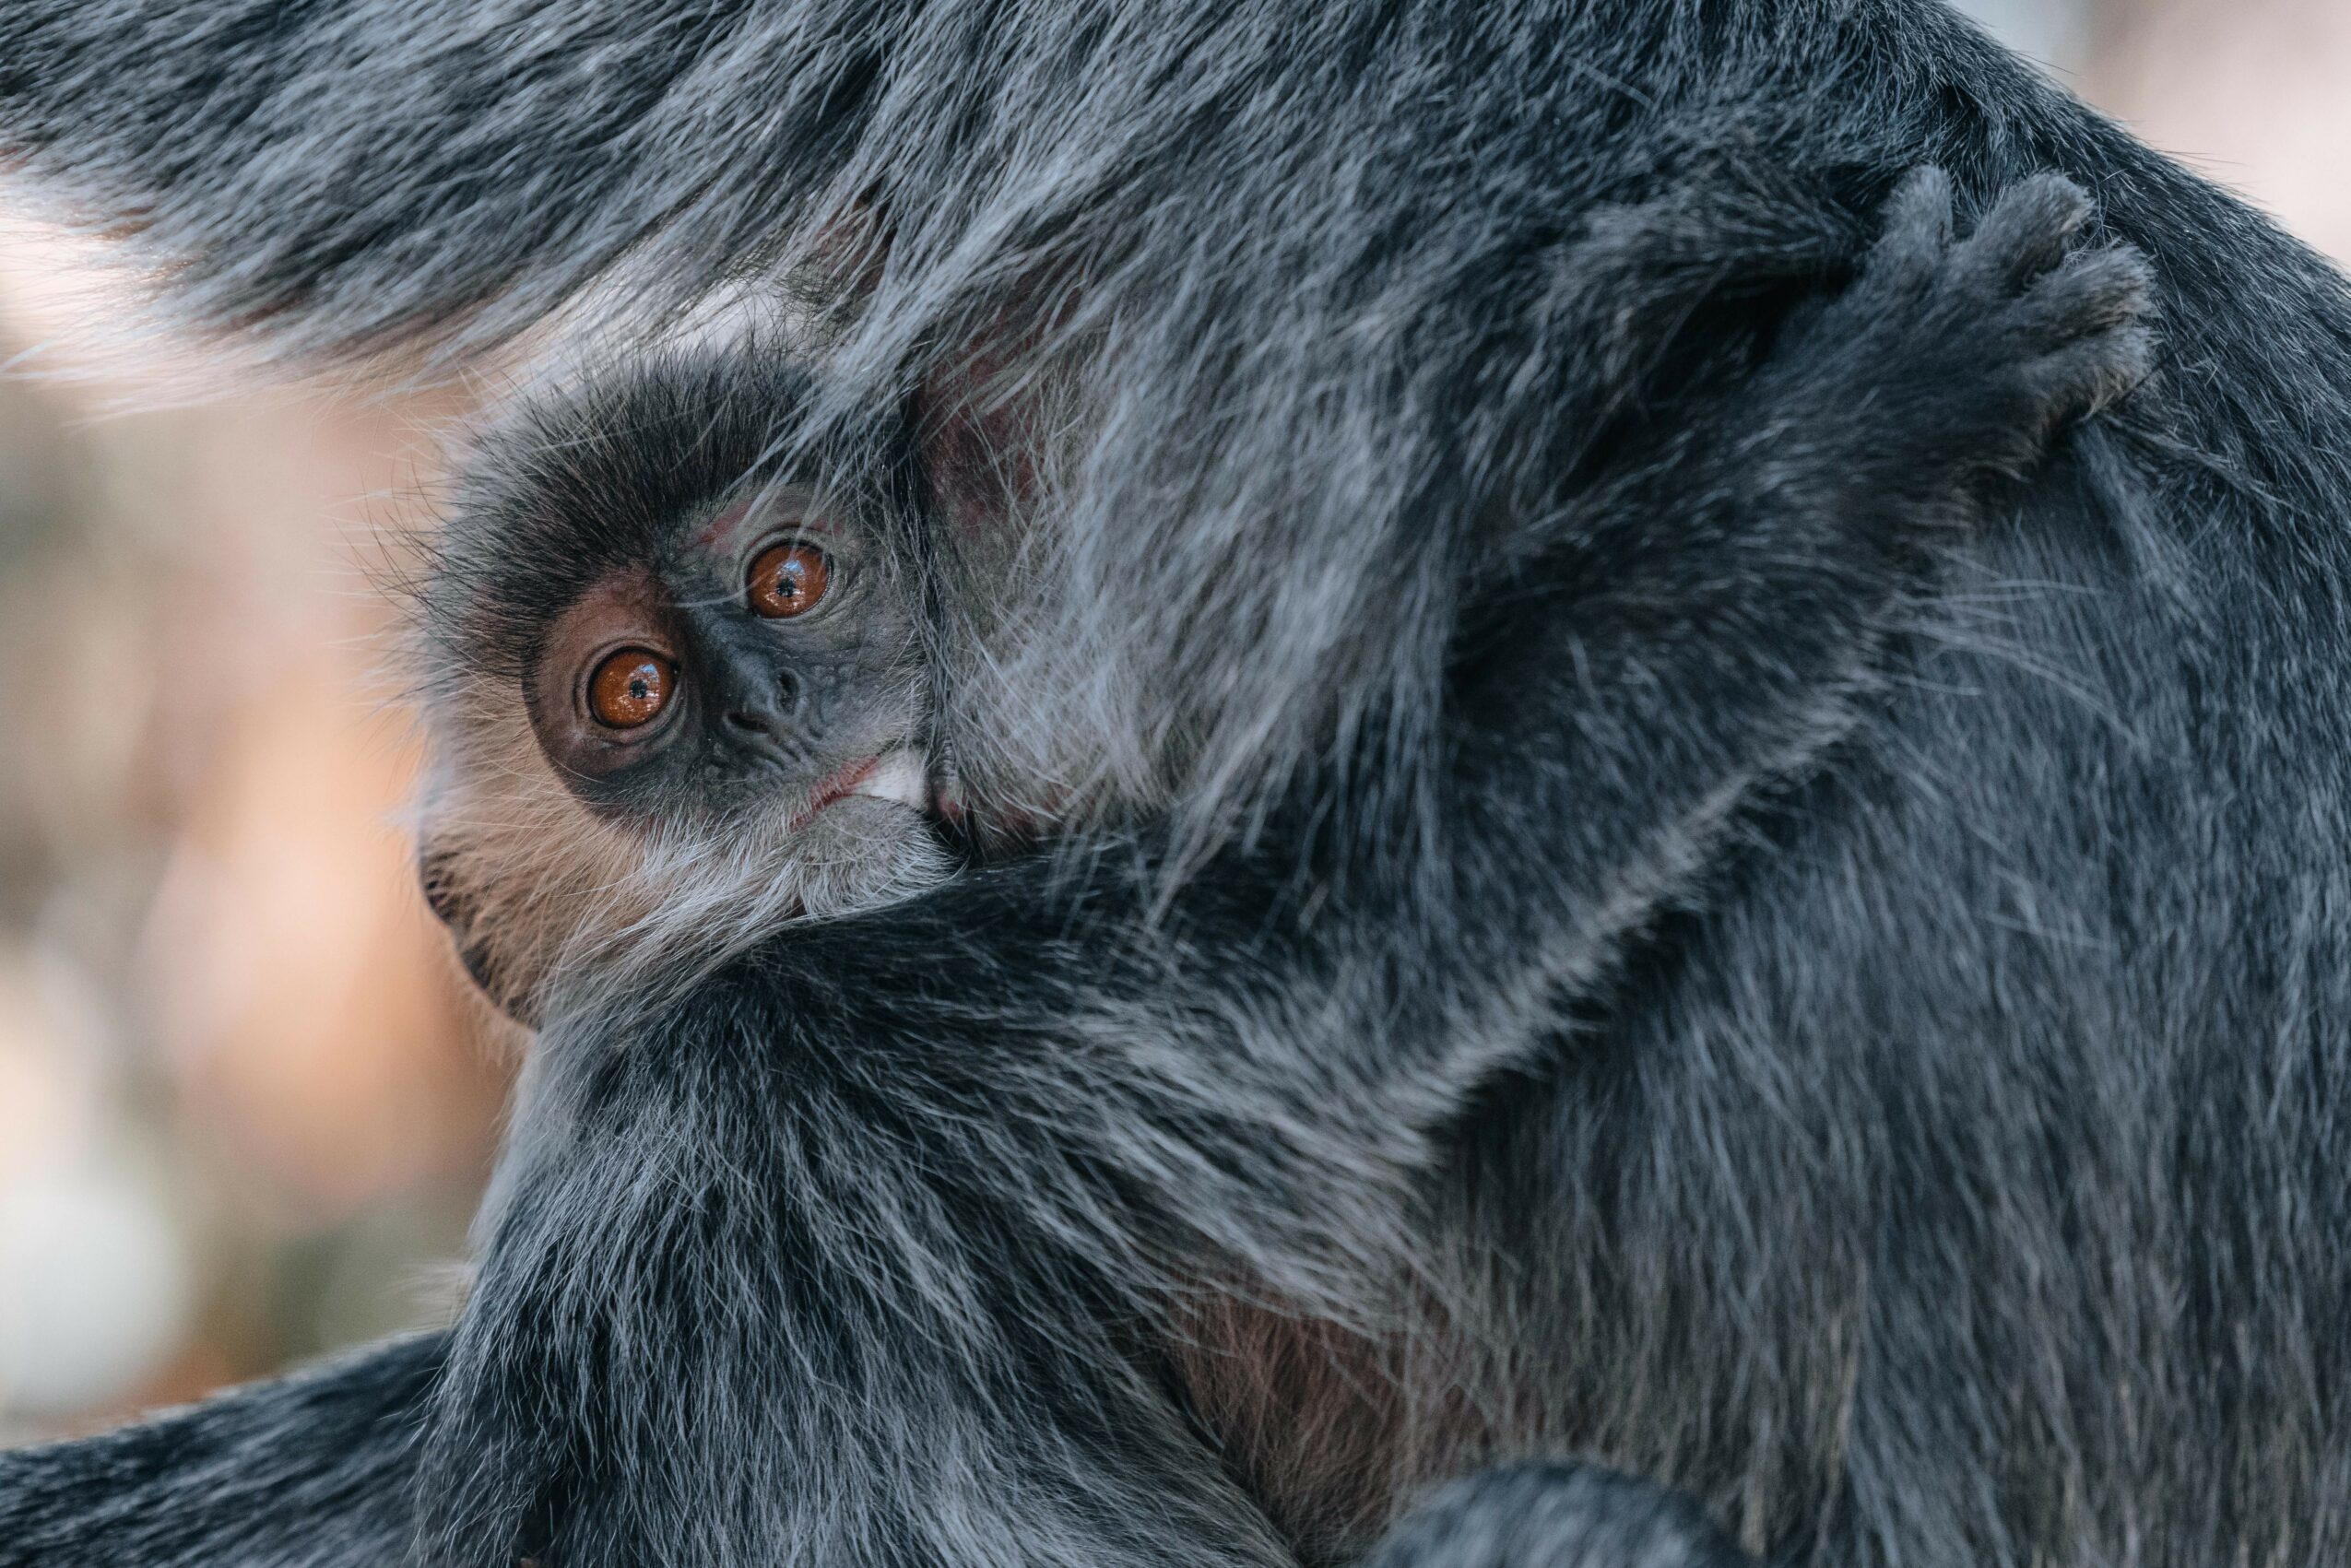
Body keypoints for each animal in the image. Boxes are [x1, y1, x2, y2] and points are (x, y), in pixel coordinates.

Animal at [2, 0, 2348, 1564]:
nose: (767, 713)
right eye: (632, 697)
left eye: (793, 576)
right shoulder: (842, 1062)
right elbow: (1351, 967)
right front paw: (1840, 445)